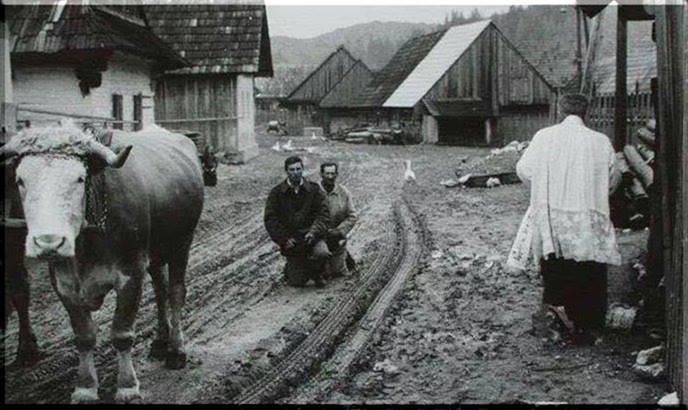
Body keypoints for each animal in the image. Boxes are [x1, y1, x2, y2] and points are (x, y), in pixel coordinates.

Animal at [0, 122, 204, 404]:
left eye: (79, 178)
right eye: (20, 180)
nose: (49, 243)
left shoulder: (131, 273)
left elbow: (122, 333)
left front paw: (127, 386)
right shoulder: (64, 284)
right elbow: (84, 336)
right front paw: (85, 387)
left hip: (181, 244)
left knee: (175, 293)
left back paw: (176, 350)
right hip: (155, 254)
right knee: (160, 291)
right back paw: (159, 342)